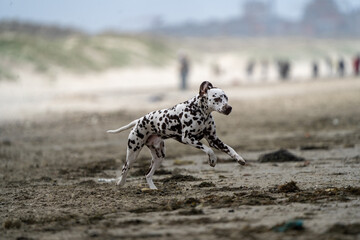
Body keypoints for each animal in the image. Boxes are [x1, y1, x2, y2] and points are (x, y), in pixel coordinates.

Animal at [107, 81, 246, 189]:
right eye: (217, 99)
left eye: (226, 98)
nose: (229, 108)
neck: (199, 111)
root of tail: (138, 120)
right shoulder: (188, 138)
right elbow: (208, 150)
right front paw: (212, 160)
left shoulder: (214, 139)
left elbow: (230, 149)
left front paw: (239, 158)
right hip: (133, 154)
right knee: (125, 169)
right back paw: (120, 183)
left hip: (159, 157)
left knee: (147, 175)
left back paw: (153, 189)